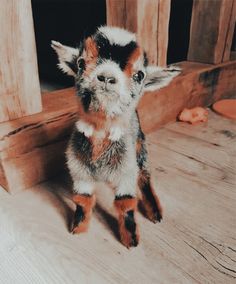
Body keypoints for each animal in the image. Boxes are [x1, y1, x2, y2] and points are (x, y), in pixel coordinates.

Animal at [52, 26, 181, 248]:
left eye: (139, 75)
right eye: (80, 63)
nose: (106, 77)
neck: (100, 131)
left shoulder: (125, 172)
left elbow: (126, 203)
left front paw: (131, 239)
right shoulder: (79, 172)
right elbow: (82, 199)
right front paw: (78, 228)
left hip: (139, 146)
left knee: (144, 175)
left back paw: (154, 211)